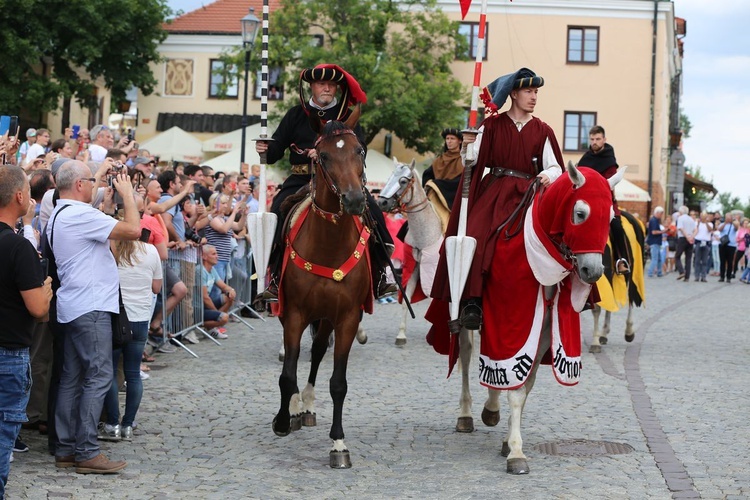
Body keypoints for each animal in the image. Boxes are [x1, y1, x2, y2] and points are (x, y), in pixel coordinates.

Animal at [274, 108, 374, 468]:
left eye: (360, 151)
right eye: (325, 156)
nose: (355, 200)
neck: (328, 244)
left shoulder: (346, 319)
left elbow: (338, 383)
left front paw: (339, 444)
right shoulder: (293, 314)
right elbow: (287, 373)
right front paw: (282, 420)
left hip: (327, 318)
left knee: (317, 352)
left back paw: (307, 404)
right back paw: (293, 409)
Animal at [376, 159, 446, 344]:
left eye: (403, 181)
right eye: (389, 177)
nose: (381, 203)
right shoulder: (415, 268)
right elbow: (406, 297)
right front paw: (401, 334)